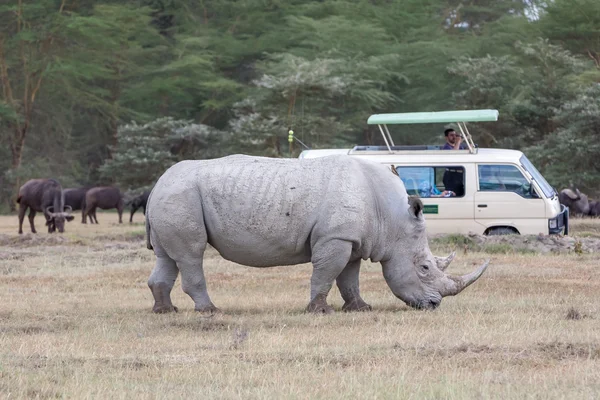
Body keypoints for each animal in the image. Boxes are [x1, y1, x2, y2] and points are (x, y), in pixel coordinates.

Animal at [144, 155, 488, 314]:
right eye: (425, 267)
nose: (434, 305)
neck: (391, 220)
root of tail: (157, 183)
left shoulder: (353, 239)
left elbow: (349, 277)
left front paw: (360, 308)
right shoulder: (335, 238)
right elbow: (326, 273)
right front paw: (320, 311)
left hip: (171, 198)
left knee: (167, 256)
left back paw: (165, 311)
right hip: (180, 196)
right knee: (192, 254)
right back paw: (211, 312)